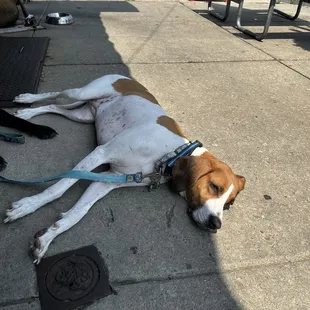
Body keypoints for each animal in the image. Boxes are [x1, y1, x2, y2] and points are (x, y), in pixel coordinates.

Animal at [3, 74, 246, 262]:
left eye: (229, 205)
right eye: (214, 186)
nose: (216, 224)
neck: (169, 154)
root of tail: (128, 77)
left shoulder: (110, 179)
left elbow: (78, 213)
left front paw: (47, 238)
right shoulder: (101, 152)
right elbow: (60, 187)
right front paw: (27, 206)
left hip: (81, 115)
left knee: (55, 106)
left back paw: (30, 114)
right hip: (79, 94)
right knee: (53, 94)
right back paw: (26, 103)